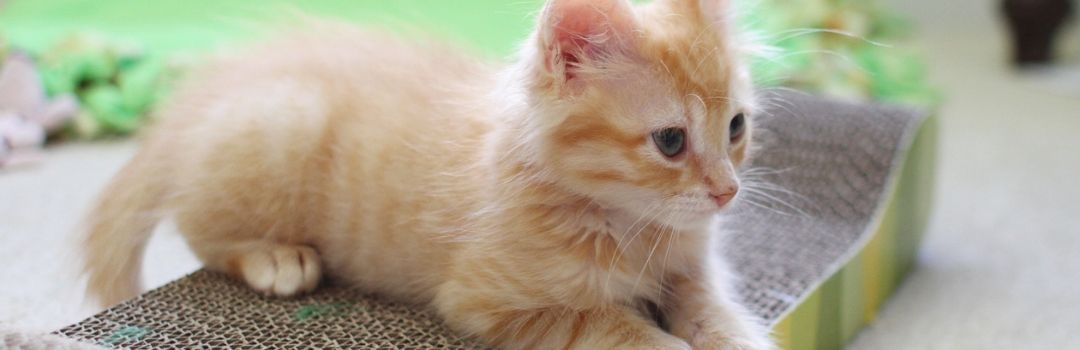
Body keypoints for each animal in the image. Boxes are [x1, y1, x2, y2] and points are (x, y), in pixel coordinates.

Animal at [84, 0, 773, 347]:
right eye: (670, 141)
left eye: (736, 128)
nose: (726, 191)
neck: (632, 225)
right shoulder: (492, 302)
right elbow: (622, 329)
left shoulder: (693, 267)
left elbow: (713, 310)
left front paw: (732, 335)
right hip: (284, 122)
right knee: (200, 228)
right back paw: (276, 257)